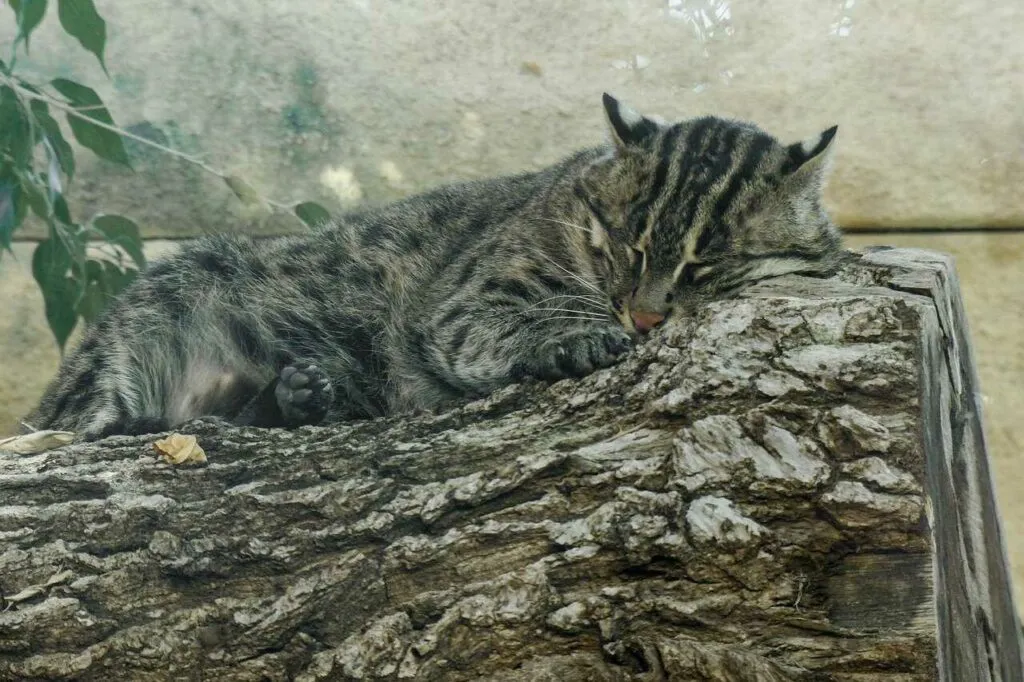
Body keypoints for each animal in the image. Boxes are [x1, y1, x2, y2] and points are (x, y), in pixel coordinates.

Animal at [24, 93, 843, 438]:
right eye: (627, 242)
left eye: (706, 264)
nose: (642, 317)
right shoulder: (469, 297)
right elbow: (509, 318)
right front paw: (580, 336)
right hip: (150, 312)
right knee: (78, 428)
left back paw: (297, 396)